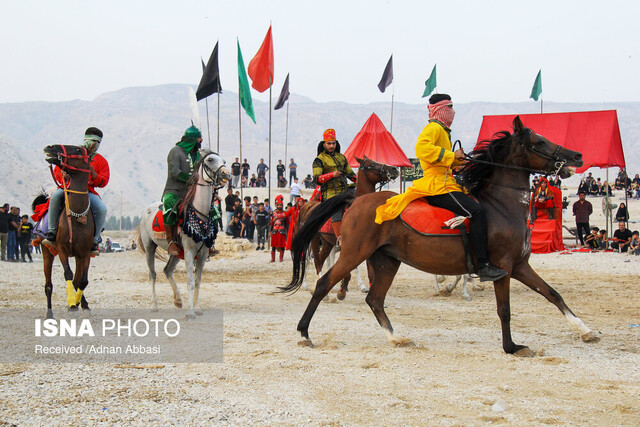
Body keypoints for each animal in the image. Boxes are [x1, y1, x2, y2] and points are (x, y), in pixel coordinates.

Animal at [41, 145, 95, 320]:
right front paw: (71, 303)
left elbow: (83, 281)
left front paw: (77, 304)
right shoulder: (62, 250)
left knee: (78, 281)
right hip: (47, 252)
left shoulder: (84, 253)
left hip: (77, 255)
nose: (49, 147)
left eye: (77, 149)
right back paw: (49, 314)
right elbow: (68, 274)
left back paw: (83, 305)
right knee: (48, 285)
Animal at [138, 150, 230, 318]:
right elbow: (190, 282)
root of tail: (148, 209)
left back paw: (178, 300)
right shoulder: (189, 252)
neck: (199, 213)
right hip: (150, 247)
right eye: (210, 159)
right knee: (152, 274)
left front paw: (197, 308)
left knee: (167, 270)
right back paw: (155, 305)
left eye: (224, 160)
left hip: (176, 252)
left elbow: (198, 281)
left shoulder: (202, 253)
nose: (227, 174)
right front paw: (191, 312)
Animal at [284, 117, 600, 358]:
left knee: (374, 299)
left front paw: (586, 331)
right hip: (352, 253)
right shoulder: (503, 268)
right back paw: (304, 333)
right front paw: (511, 346)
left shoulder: (520, 266)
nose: (577, 156)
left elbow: (552, 294)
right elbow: (505, 309)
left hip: (386, 261)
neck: (502, 205)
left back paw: (395, 338)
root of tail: (355, 201)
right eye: (539, 142)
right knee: (325, 282)